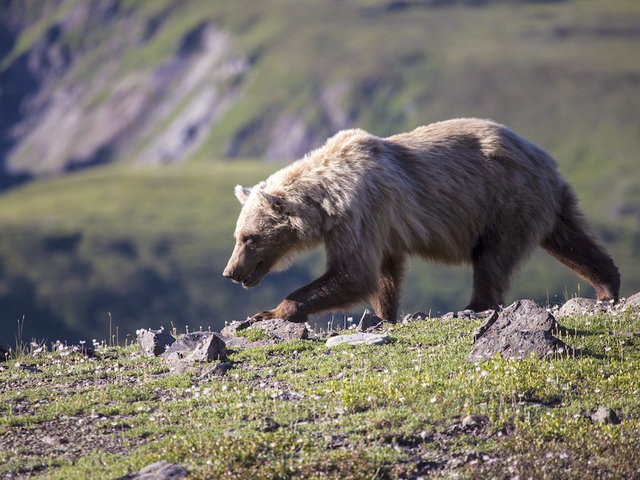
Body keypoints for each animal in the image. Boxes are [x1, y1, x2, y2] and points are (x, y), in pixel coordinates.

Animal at [223, 118, 620, 323]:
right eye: (238, 236)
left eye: (249, 238)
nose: (230, 272)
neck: (326, 200)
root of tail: (546, 160)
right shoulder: (379, 224)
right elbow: (384, 273)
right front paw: (384, 314)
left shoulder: (360, 210)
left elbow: (353, 272)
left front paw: (269, 312)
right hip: (546, 203)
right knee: (572, 240)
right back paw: (607, 285)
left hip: (506, 202)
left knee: (492, 260)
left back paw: (474, 305)